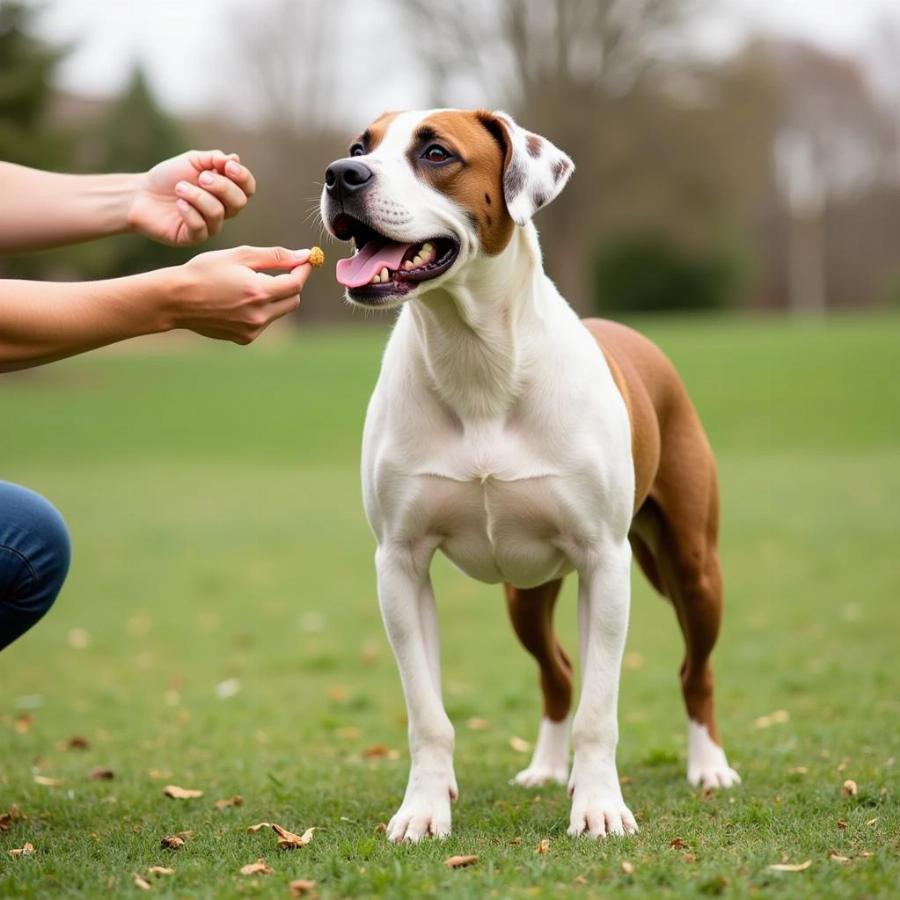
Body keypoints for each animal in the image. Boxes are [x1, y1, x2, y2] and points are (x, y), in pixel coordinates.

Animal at [320, 109, 740, 840]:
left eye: (436, 153)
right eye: (358, 147)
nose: (341, 175)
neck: (474, 355)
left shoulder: (605, 560)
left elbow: (601, 710)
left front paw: (599, 808)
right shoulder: (400, 562)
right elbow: (427, 712)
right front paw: (424, 809)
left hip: (692, 564)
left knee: (695, 668)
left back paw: (707, 767)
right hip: (526, 594)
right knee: (558, 673)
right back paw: (546, 769)